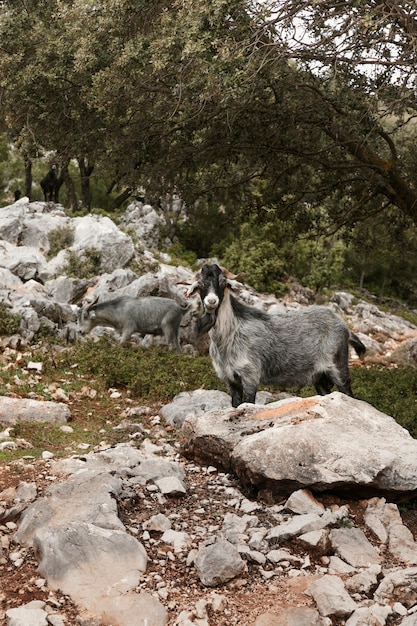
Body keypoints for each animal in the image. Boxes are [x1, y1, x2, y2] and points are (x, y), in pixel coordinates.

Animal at [185, 262, 364, 404]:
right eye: (200, 284)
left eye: (223, 282)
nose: (211, 301)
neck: (230, 334)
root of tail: (345, 327)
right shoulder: (230, 380)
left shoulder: (250, 376)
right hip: (319, 378)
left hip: (338, 368)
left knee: (349, 393)